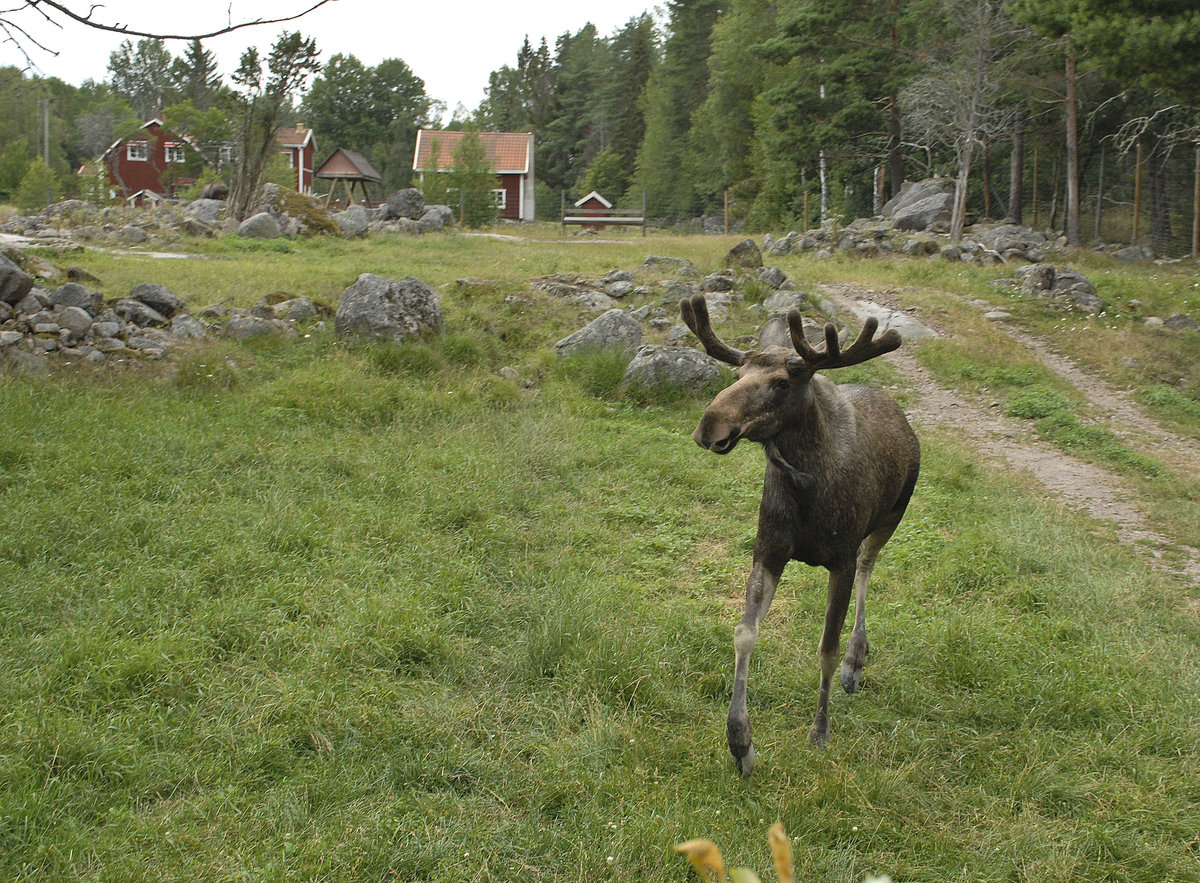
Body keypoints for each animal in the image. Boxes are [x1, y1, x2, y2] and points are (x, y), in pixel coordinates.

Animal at [681, 295, 921, 772]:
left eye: (781, 383)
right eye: (737, 375)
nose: (709, 426)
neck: (805, 486)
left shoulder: (840, 560)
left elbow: (826, 649)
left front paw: (820, 731)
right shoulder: (768, 549)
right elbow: (744, 632)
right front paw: (740, 741)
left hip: (891, 516)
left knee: (869, 565)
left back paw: (856, 658)